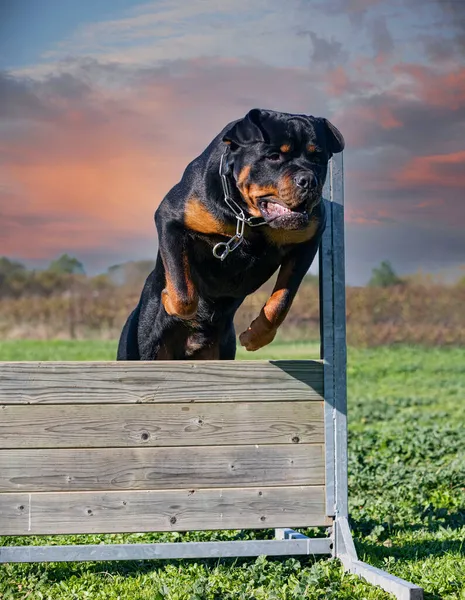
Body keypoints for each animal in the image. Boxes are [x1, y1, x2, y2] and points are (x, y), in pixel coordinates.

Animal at [118, 109, 342, 360]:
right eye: (273, 156)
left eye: (318, 159)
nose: (309, 180)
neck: (248, 219)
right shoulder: (170, 218)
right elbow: (183, 291)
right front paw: (168, 299)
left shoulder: (308, 241)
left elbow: (282, 300)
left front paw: (257, 336)